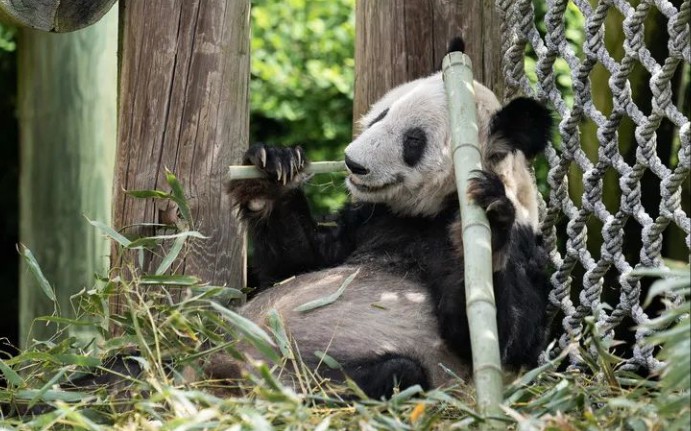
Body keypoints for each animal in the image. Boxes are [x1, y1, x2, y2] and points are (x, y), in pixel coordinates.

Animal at [219, 44, 556, 402]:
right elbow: (296, 265)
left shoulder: (522, 246)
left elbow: (504, 337)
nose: (353, 163)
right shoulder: (370, 219)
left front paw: (488, 226)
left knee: (397, 372)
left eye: (414, 140)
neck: (428, 211)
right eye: (381, 115)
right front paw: (272, 169)